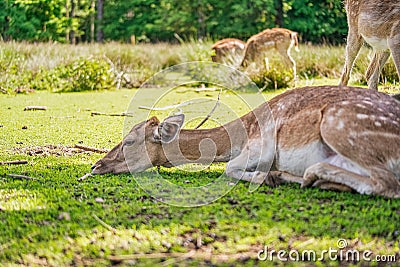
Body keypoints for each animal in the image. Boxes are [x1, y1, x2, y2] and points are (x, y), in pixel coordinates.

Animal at [91, 86, 400, 199]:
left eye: (129, 142)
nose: (96, 165)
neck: (239, 137)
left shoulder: (261, 146)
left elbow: (230, 169)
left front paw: (266, 177)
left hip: (339, 124)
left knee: (386, 184)